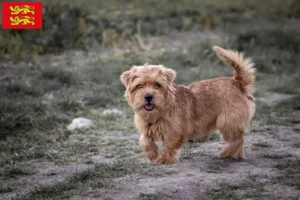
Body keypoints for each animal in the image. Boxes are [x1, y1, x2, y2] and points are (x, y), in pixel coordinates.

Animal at [119, 45, 255, 164]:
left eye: (157, 85)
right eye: (139, 86)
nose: (148, 97)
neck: (158, 112)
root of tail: (236, 82)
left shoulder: (174, 131)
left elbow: (168, 144)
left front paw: (165, 159)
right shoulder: (146, 128)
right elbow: (144, 140)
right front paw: (152, 154)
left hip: (226, 121)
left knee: (237, 139)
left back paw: (227, 153)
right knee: (238, 140)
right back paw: (234, 155)